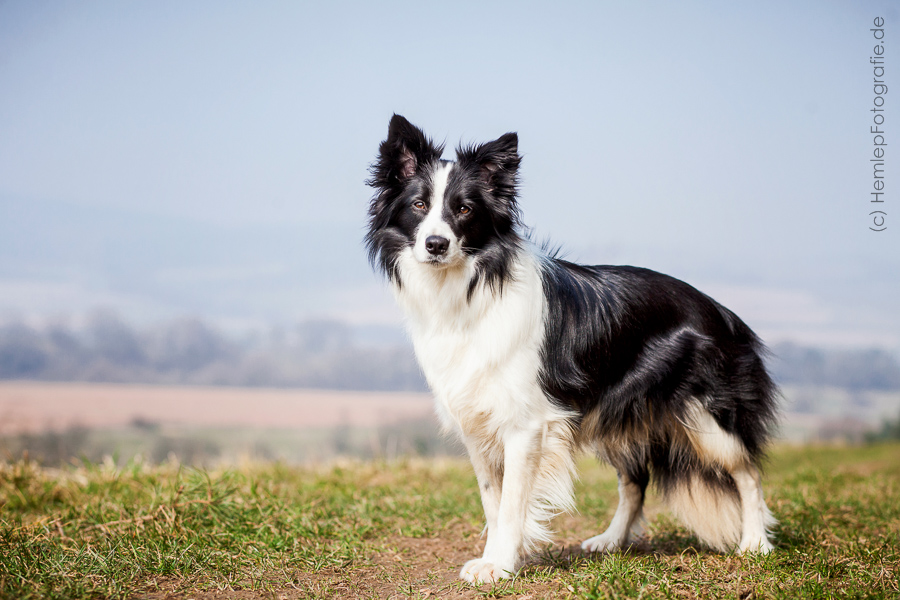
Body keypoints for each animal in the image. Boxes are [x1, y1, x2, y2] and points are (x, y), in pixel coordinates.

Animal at [366, 115, 780, 584]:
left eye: (465, 210)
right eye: (418, 205)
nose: (436, 245)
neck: (470, 287)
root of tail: (722, 311)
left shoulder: (526, 424)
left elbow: (511, 503)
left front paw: (501, 564)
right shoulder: (477, 419)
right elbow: (493, 499)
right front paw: (497, 558)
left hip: (708, 416)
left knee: (747, 471)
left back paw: (755, 543)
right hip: (619, 415)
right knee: (635, 481)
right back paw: (611, 541)